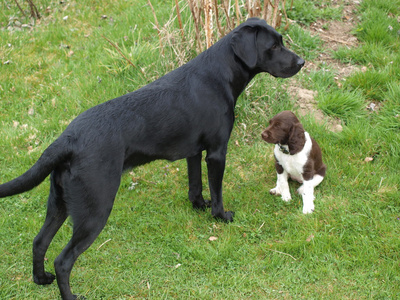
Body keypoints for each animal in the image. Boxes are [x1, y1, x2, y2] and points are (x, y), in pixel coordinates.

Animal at [0, 17, 304, 298]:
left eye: (281, 41)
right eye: (273, 46)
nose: (301, 62)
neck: (219, 75)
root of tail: (67, 139)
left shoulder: (194, 152)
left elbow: (195, 186)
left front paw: (199, 206)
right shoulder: (217, 152)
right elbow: (216, 190)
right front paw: (220, 216)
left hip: (59, 202)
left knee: (39, 242)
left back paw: (41, 279)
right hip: (94, 209)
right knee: (63, 261)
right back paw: (71, 295)